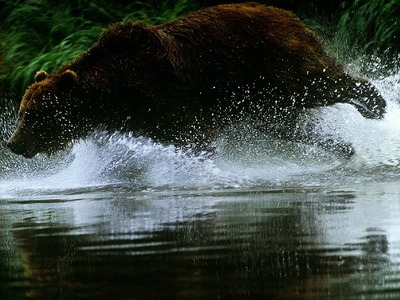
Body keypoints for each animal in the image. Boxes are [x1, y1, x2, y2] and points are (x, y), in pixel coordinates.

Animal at [7, 3, 388, 158]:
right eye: (23, 112)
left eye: (35, 115)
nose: (12, 143)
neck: (114, 92)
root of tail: (287, 14)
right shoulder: (139, 119)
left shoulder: (165, 94)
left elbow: (192, 136)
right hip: (259, 97)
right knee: (285, 125)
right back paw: (342, 147)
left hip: (276, 65)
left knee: (322, 82)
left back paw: (377, 105)